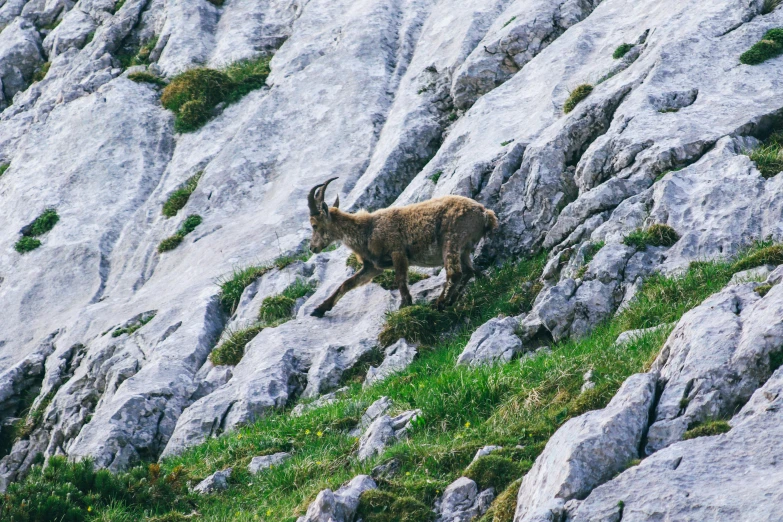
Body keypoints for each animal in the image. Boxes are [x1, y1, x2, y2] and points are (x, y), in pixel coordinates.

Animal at [306, 178, 496, 316]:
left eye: (314, 225)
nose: (312, 248)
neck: (367, 229)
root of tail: (485, 213)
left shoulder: (397, 252)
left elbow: (400, 280)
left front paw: (405, 306)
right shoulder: (373, 266)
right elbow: (347, 283)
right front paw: (320, 309)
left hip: (451, 240)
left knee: (455, 273)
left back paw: (439, 304)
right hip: (464, 249)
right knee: (471, 271)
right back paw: (455, 298)